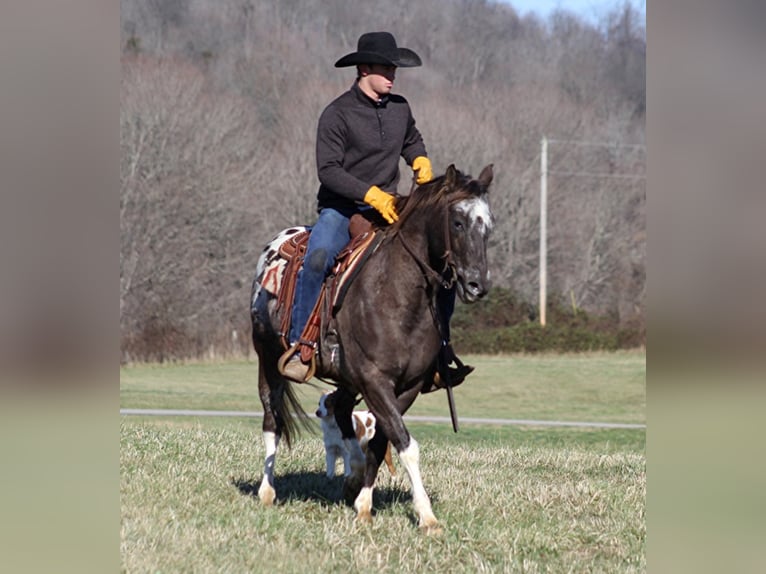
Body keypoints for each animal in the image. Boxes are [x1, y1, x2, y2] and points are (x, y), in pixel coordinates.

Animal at [249, 164, 496, 532]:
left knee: (340, 409)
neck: (397, 294)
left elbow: (382, 442)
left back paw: (351, 472)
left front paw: (363, 503)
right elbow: (406, 445)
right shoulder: (375, 379)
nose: (477, 284)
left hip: (346, 378)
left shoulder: (406, 387)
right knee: (271, 420)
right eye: (458, 222)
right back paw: (267, 491)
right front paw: (427, 516)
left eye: (488, 224)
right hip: (268, 359)